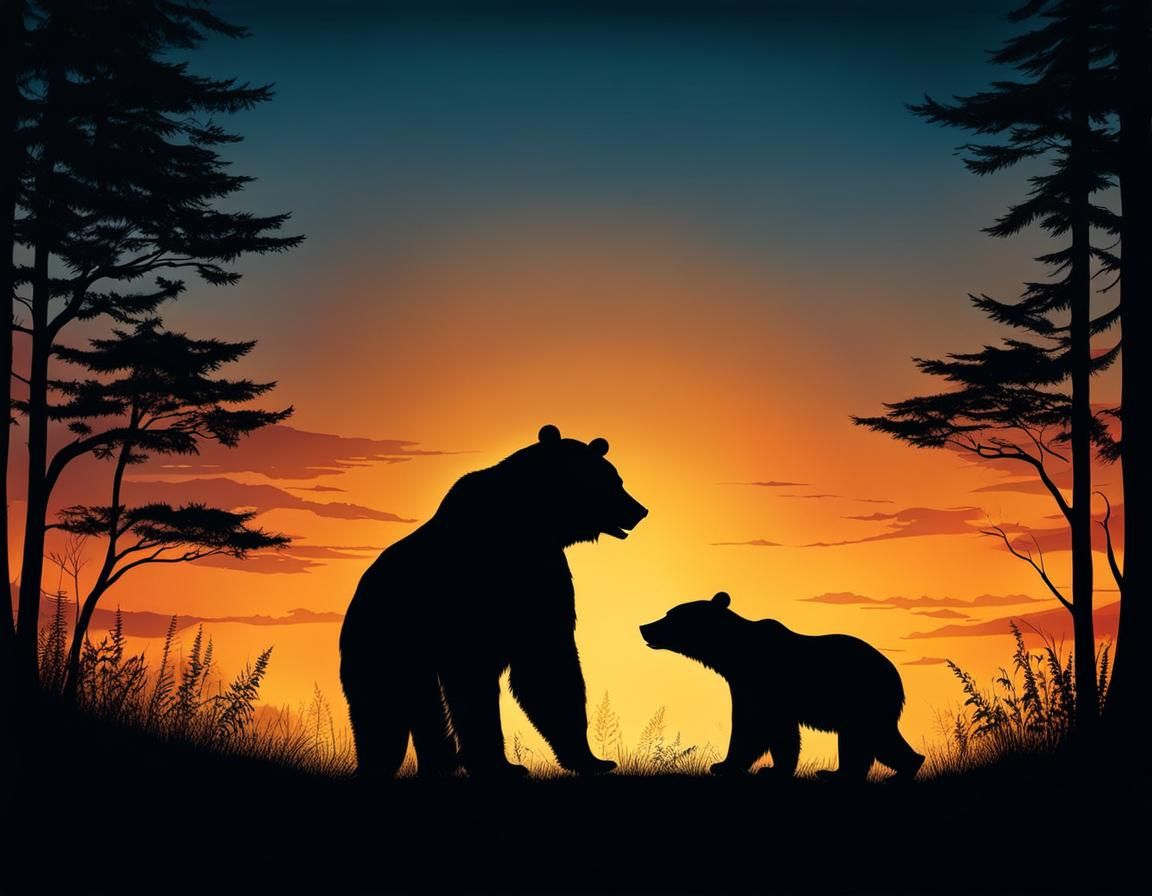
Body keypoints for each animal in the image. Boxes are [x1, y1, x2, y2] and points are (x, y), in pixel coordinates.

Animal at [340, 424, 648, 780]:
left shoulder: (540, 574)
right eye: (612, 481)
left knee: (419, 709)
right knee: (382, 710)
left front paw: (591, 759)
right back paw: (379, 766)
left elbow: (549, 658)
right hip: (379, 645)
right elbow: (516, 668)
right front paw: (500, 765)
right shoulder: (486, 590)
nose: (639, 510)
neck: (535, 519)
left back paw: (436, 766)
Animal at [639, 592, 924, 781]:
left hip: (864, 696)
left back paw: (896, 772)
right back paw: (837, 773)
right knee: (862, 738)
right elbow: (769, 729)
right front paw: (764, 767)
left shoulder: (763, 684)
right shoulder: (748, 686)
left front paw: (729, 766)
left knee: (874, 735)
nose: (644, 627)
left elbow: (757, 727)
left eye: (670, 615)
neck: (732, 655)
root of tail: (895, 674)